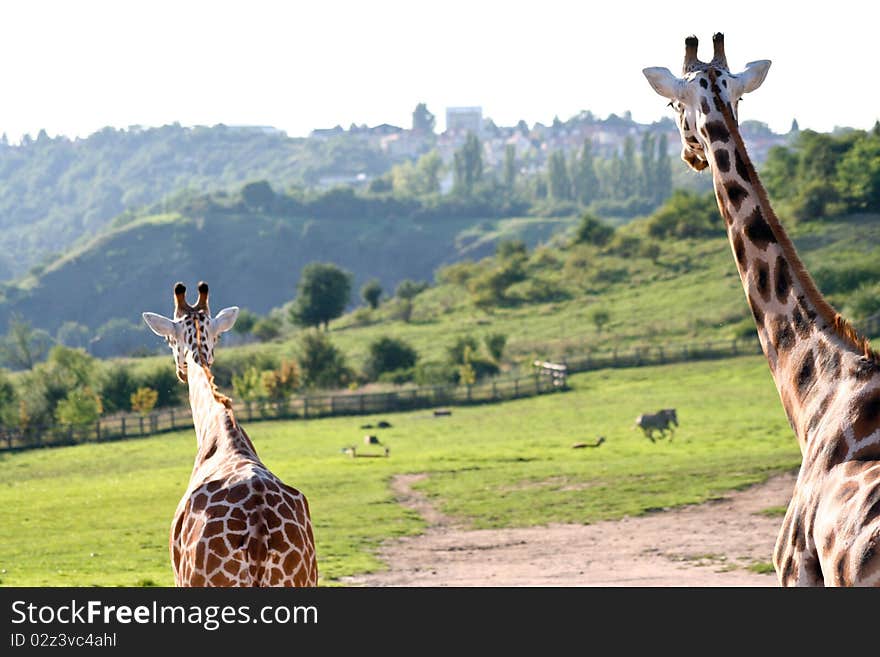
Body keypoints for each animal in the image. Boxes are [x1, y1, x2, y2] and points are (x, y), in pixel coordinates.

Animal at [143, 280, 322, 584]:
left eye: (169, 340)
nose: (180, 372)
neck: (221, 434)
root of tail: (258, 535)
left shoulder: (179, 578)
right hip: (300, 577)